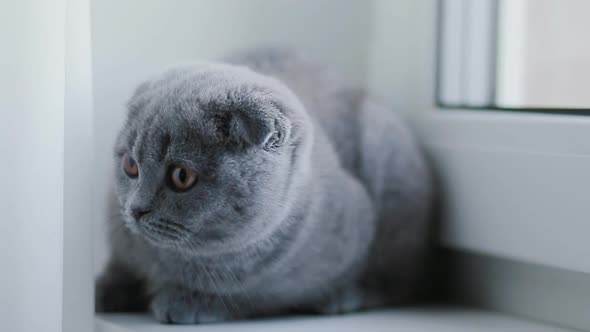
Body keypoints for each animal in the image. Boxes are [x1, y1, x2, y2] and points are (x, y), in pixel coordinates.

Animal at [97, 48, 438, 322]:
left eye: (181, 176)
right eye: (130, 165)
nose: (136, 209)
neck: (171, 261)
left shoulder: (288, 283)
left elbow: (249, 297)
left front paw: (187, 302)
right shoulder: (121, 246)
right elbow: (119, 269)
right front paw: (98, 292)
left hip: (385, 146)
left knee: (397, 281)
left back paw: (344, 297)